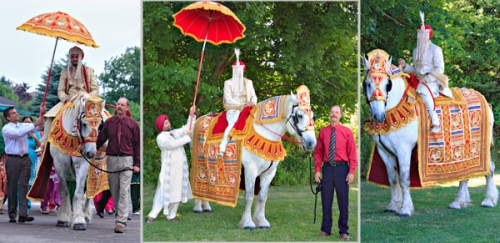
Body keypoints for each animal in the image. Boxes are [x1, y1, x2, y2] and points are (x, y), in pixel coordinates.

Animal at [45, 92, 104, 230]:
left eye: (100, 125)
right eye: (84, 124)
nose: (91, 153)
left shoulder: (82, 165)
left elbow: (78, 192)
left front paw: (79, 221)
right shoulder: (60, 164)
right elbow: (64, 190)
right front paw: (63, 219)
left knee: (89, 190)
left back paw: (86, 215)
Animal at [191, 85, 316, 230]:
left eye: (313, 116)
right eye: (299, 116)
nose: (311, 143)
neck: (266, 134)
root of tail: (200, 118)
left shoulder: (269, 172)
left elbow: (262, 197)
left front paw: (261, 221)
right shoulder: (250, 170)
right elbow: (249, 196)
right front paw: (247, 223)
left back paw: (206, 206)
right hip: (198, 161)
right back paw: (198, 207)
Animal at [362, 49, 498, 216]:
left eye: (388, 84)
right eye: (367, 84)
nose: (378, 116)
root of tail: (484, 100)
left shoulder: (403, 149)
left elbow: (404, 179)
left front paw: (405, 209)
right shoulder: (384, 151)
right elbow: (393, 179)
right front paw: (393, 205)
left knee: (490, 169)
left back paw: (488, 200)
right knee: (465, 173)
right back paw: (458, 202)